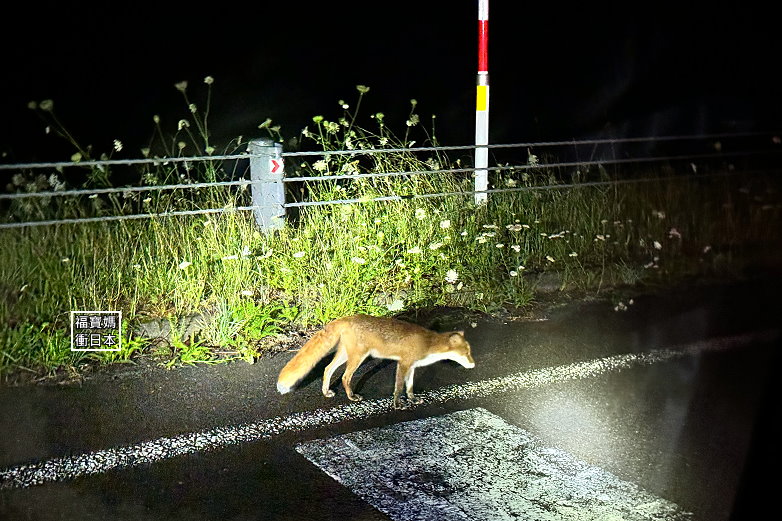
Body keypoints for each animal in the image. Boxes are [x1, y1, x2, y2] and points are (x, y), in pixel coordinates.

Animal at [282, 314, 478, 408]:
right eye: (467, 353)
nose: (474, 364)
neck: (428, 344)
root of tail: (347, 317)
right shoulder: (403, 363)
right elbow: (398, 387)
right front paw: (398, 405)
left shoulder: (412, 366)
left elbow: (410, 387)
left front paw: (413, 400)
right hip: (358, 357)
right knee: (345, 377)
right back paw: (352, 396)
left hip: (345, 354)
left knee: (327, 369)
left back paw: (326, 392)